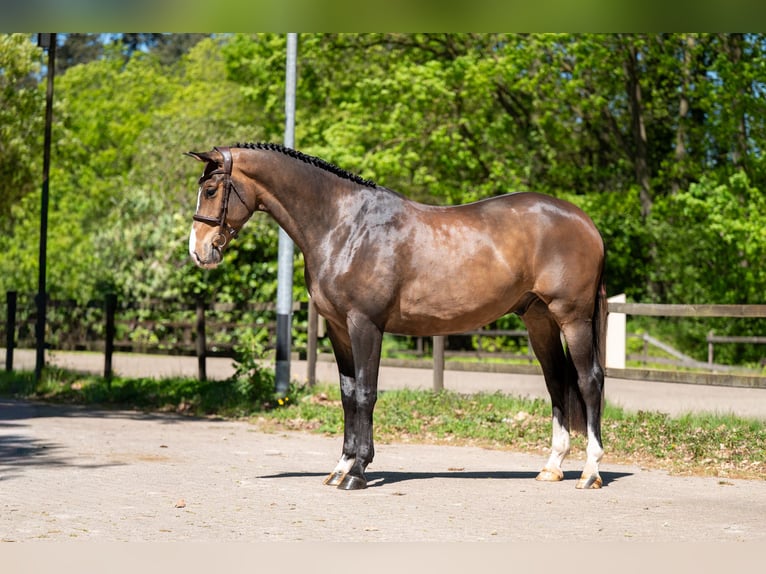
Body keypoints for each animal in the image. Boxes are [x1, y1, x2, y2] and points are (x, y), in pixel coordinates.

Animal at [187, 143, 608, 491]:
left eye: (211, 191)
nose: (199, 251)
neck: (343, 225)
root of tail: (585, 222)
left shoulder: (365, 325)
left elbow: (366, 393)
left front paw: (357, 473)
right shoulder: (339, 329)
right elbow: (348, 394)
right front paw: (341, 467)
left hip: (573, 318)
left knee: (589, 381)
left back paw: (590, 472)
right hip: (539, 321)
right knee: (556, 382)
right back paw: (552, 466)